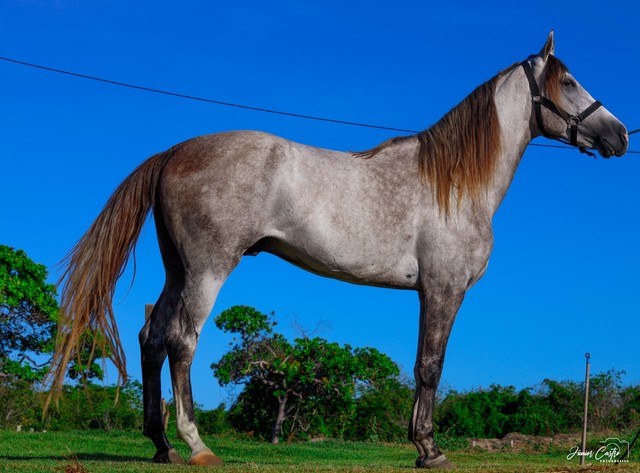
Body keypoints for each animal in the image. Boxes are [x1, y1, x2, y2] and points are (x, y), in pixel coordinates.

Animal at [47, 31, 628, 466]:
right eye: (569, 81)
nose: (620, 134)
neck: (454, 184)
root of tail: (174, 152)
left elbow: (425, 365)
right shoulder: (443, 289)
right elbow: (430, 365)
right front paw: (428, 449)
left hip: (178, 269)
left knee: (151, 337)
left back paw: (161, 445)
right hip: (208, 269)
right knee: (181, 341)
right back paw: (197, 445)